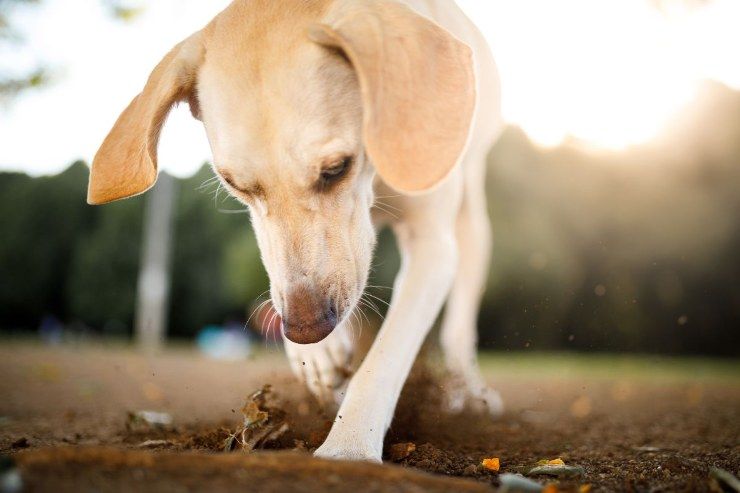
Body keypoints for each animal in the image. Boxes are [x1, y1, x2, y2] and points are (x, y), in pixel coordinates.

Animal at [86, 0, 502, 462]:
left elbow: (384, 359)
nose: (307, 330)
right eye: (235, 185)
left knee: (459, 325)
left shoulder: (433, 244)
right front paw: (319, 358)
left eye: (337, 167)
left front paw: (349, 446)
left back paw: (470, 393)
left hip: (472, 221)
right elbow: (282, 275)